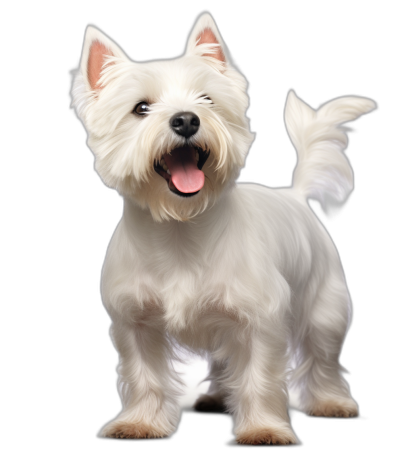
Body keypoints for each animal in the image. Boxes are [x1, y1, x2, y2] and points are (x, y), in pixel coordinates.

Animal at [71, 11, 376, 444]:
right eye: (140, 108)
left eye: (207, 100)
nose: (186, 119)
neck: (181, 227)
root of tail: (295, 195)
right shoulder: (134, 322)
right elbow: (144, 376)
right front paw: (140, 423)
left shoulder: (261, 320)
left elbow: (259, 377)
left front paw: (264, 429)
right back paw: (217, 397)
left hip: (325, 306)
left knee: (324, 354)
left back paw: (332, 402)